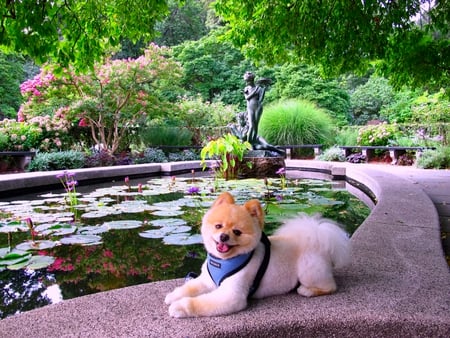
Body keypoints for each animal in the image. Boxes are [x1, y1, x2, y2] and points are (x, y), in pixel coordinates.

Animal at [165, 193, 352, 316]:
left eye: (237, 232)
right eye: (218, 226)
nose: (224, 236)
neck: (224, 261)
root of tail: (316, 237)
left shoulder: (231, 295)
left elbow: (199, 302)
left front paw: (180, 307)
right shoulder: (206, 281)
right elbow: (189, 287)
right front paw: (174, 296)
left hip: (309, 271)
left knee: (329, 286)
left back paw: (308, 290)